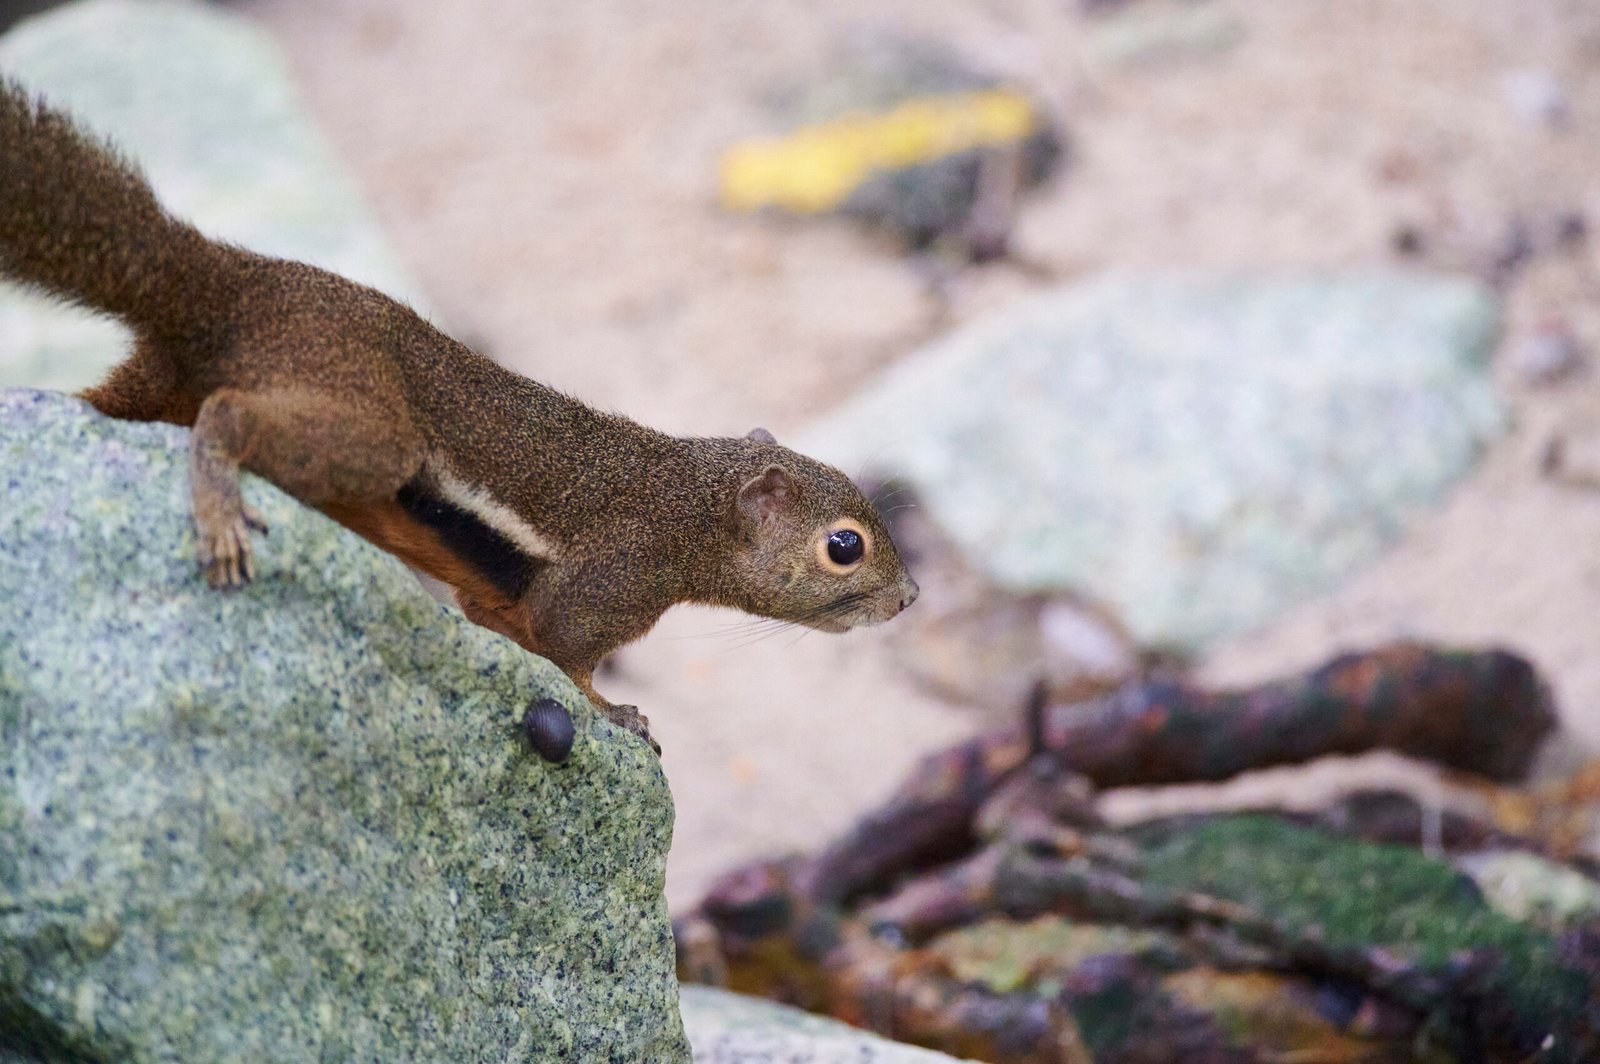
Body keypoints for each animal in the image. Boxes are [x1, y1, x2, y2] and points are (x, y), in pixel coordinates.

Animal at [0, 81, 919, 750]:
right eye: (844, 546)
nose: (910, 598)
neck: (686, 504)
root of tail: (231, 287)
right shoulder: (607, 581)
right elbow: (568, 659)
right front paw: (619, 714)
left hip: (158, 382)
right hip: (369, 431)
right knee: (229, 416)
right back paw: (220, 502)